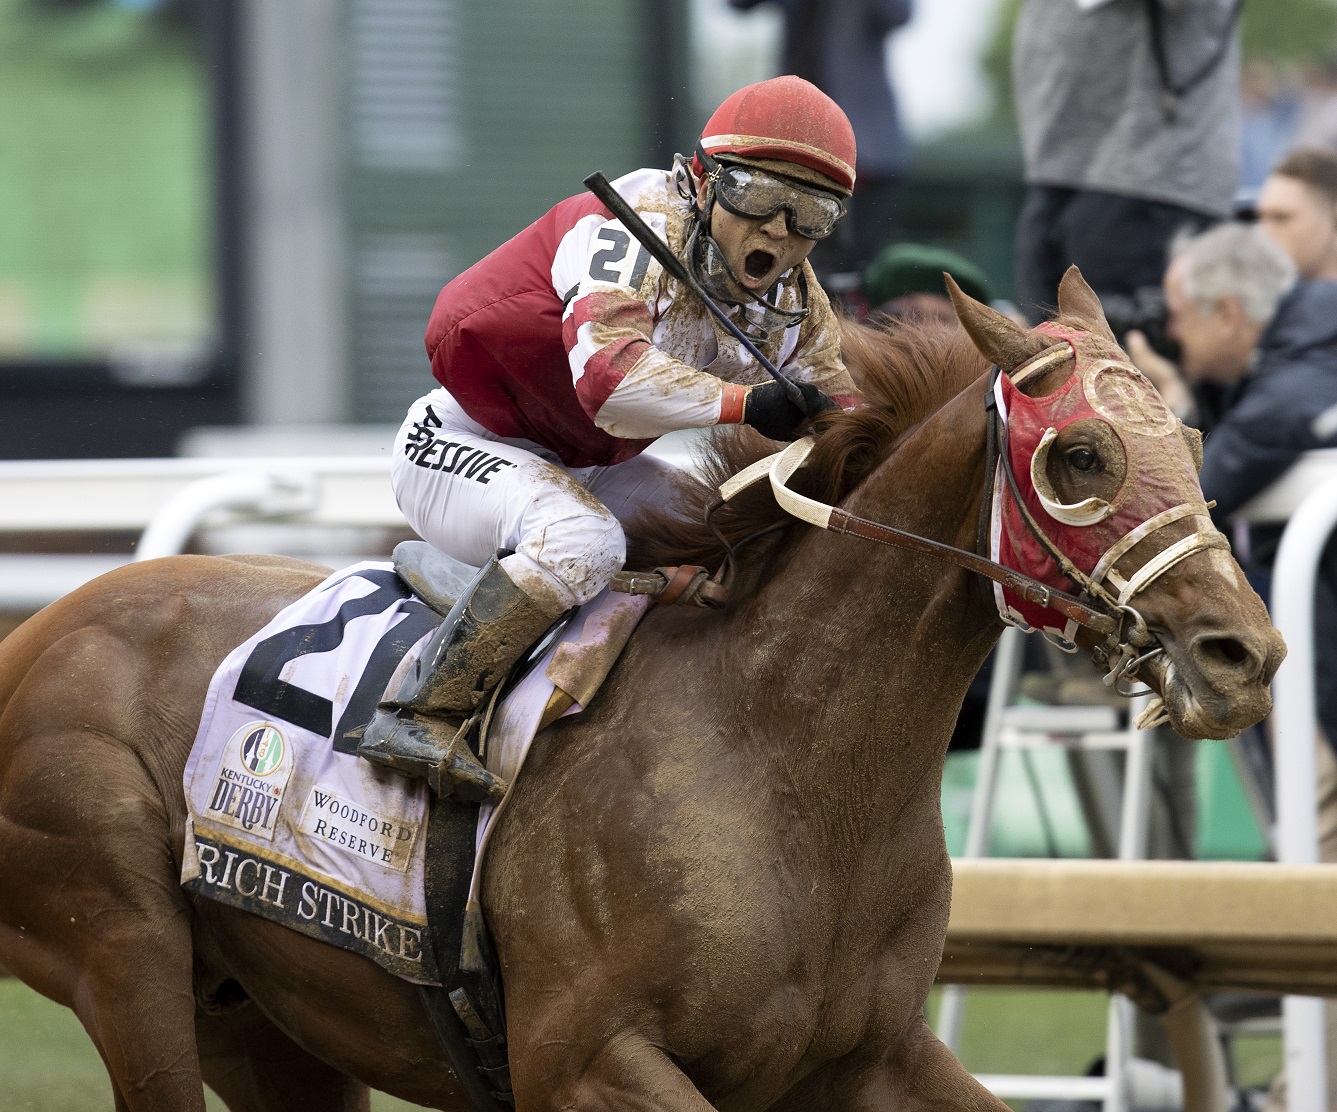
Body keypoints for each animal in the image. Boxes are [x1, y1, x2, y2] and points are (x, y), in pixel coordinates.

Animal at [0, 271, 1278, 1112]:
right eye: (1078, 457)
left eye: (1191, 439)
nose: (1243, 653)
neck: (782, 756)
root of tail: (36, 635)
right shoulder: (586, 1059)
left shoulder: (866, 1055)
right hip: (123, 951)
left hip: (269, 1021)